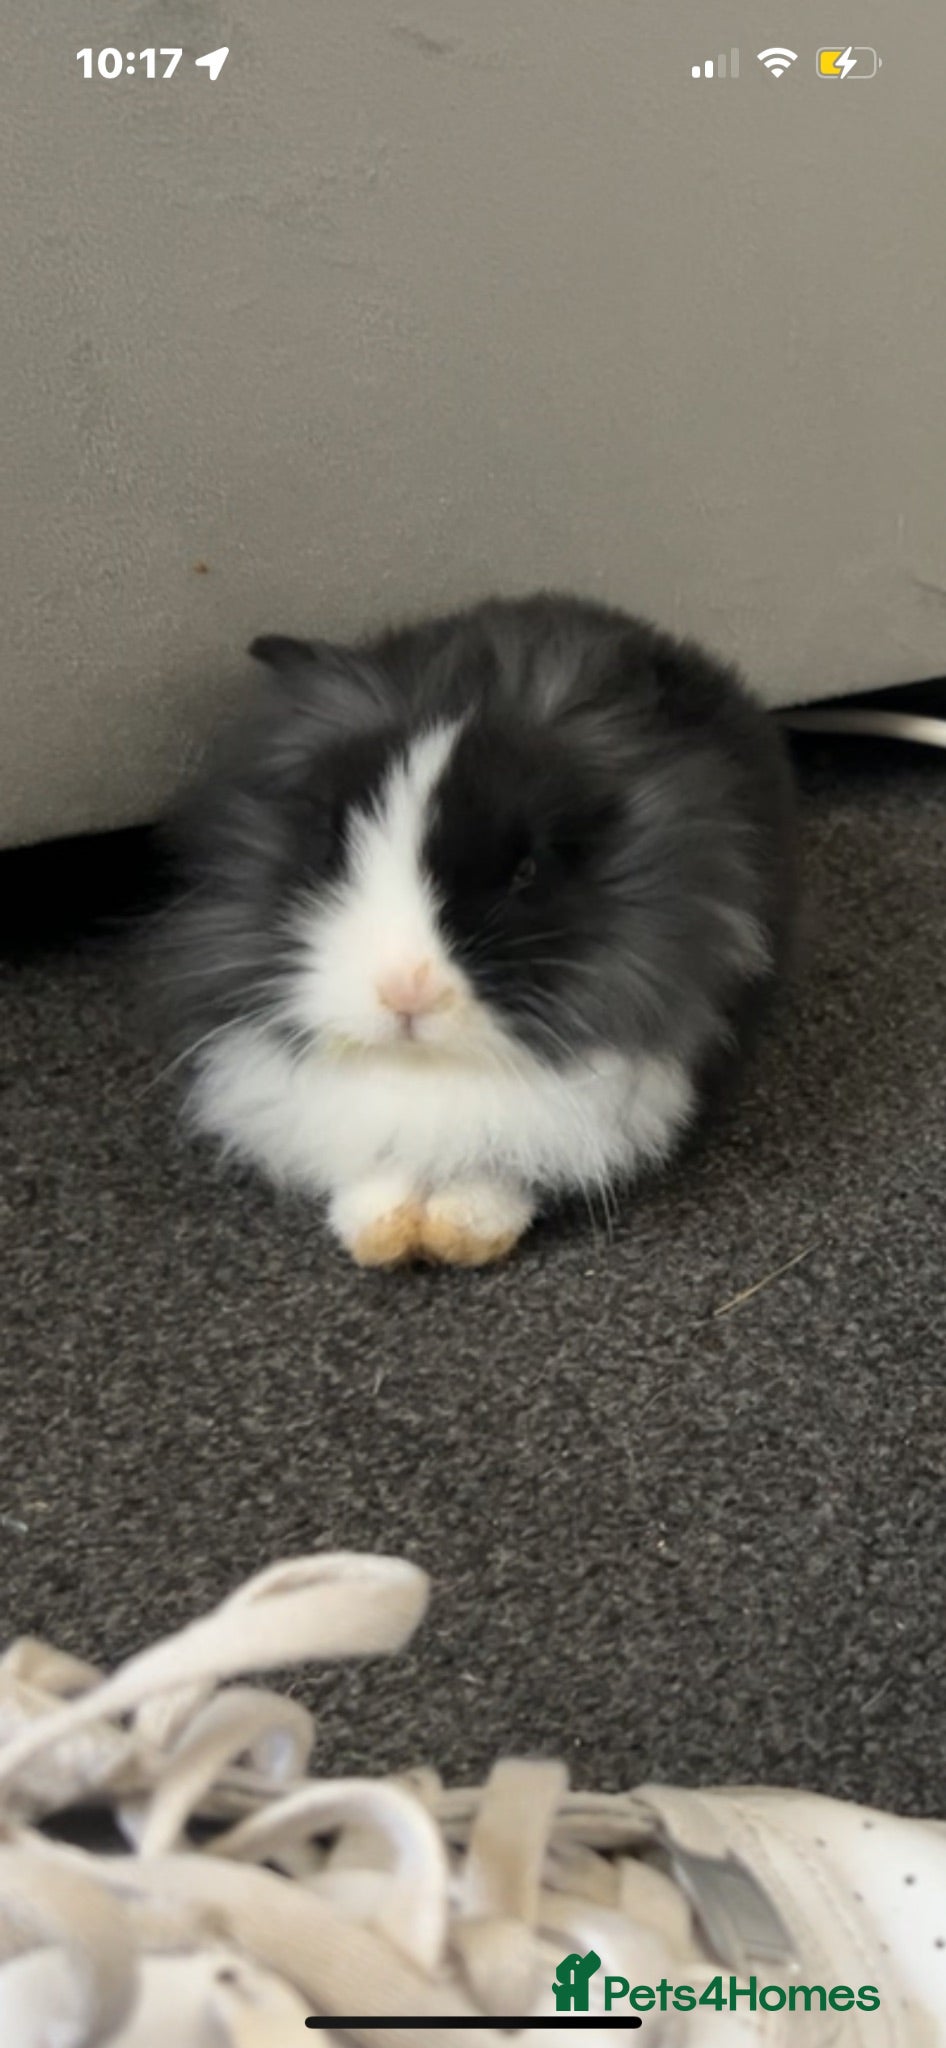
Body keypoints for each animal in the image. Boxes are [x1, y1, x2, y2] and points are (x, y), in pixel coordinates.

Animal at [149, 593, 796, 1267]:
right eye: (332, 847)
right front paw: (380, 1233)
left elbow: (503, 1167)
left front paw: (462, 1234)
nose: (405, 990)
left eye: (527, 870)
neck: (429, 1068)